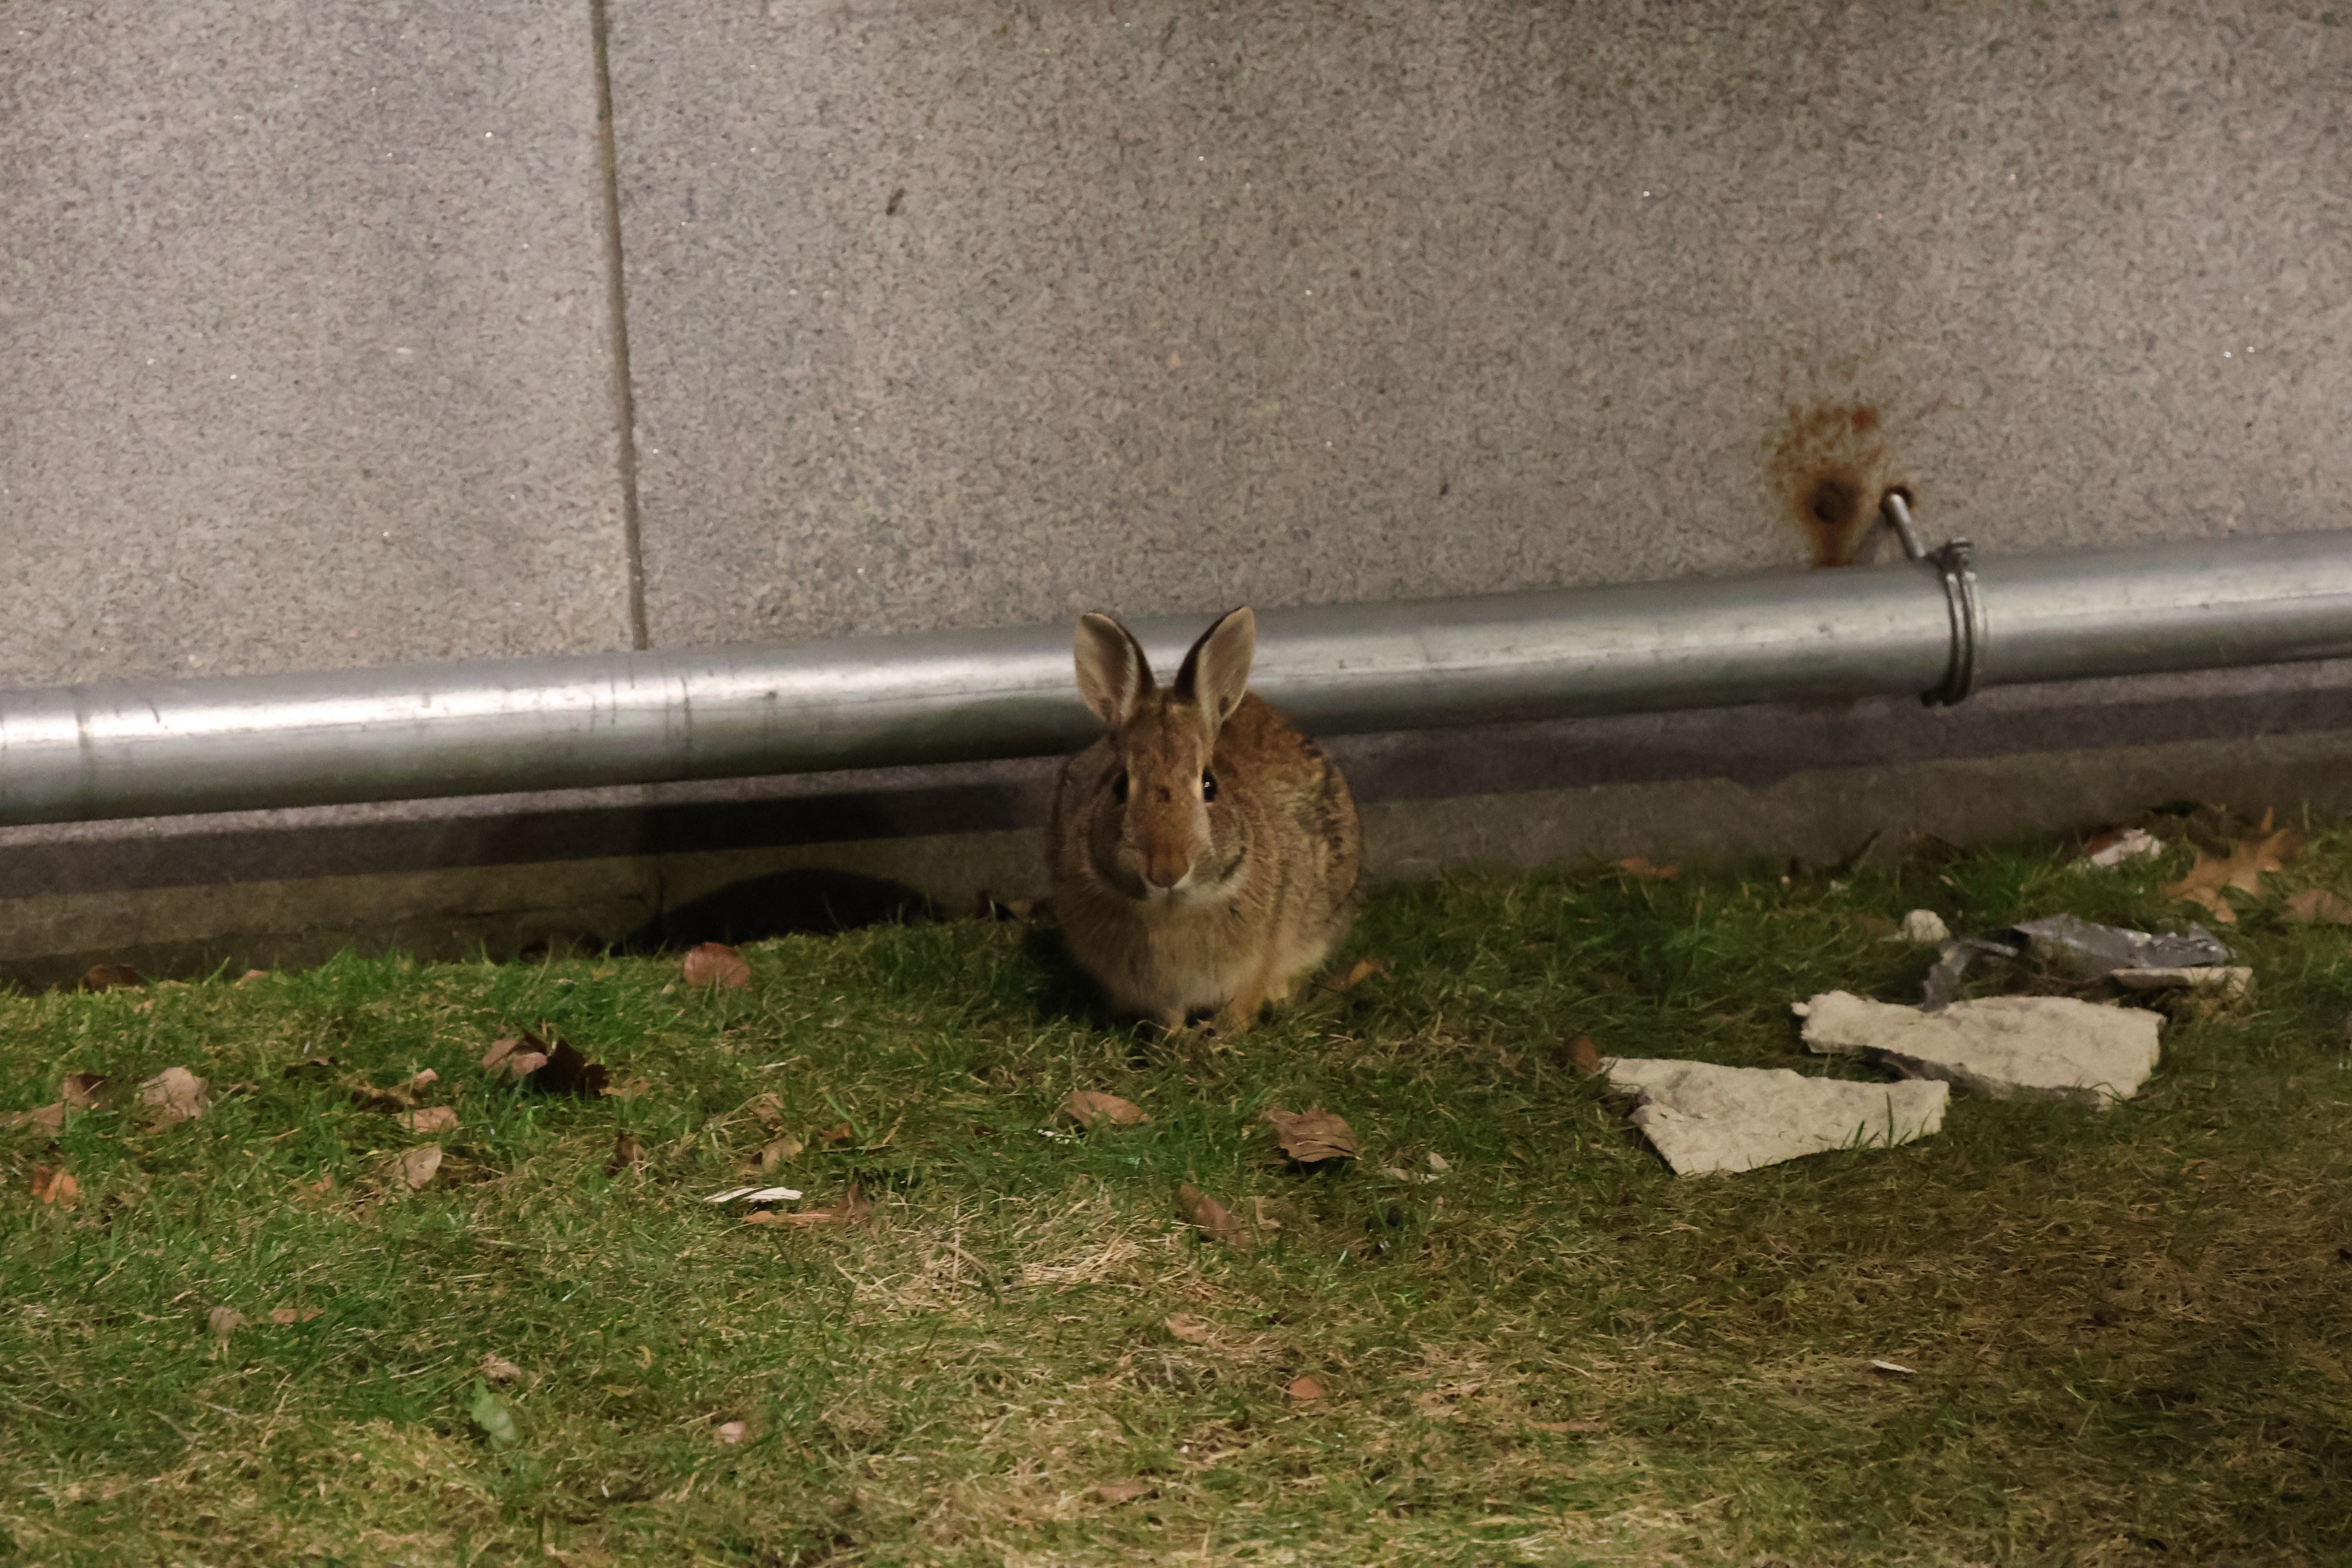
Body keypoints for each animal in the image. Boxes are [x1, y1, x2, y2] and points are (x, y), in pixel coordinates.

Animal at [1046, 606, 1362, 1035]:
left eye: (1210, 785)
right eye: (1119, 785)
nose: (1166, 871)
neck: (1171, 907)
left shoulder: (1259, 960)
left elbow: (1244, 1003)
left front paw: (1221, 1038)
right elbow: (1169, 1014)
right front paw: (1176, 1040)